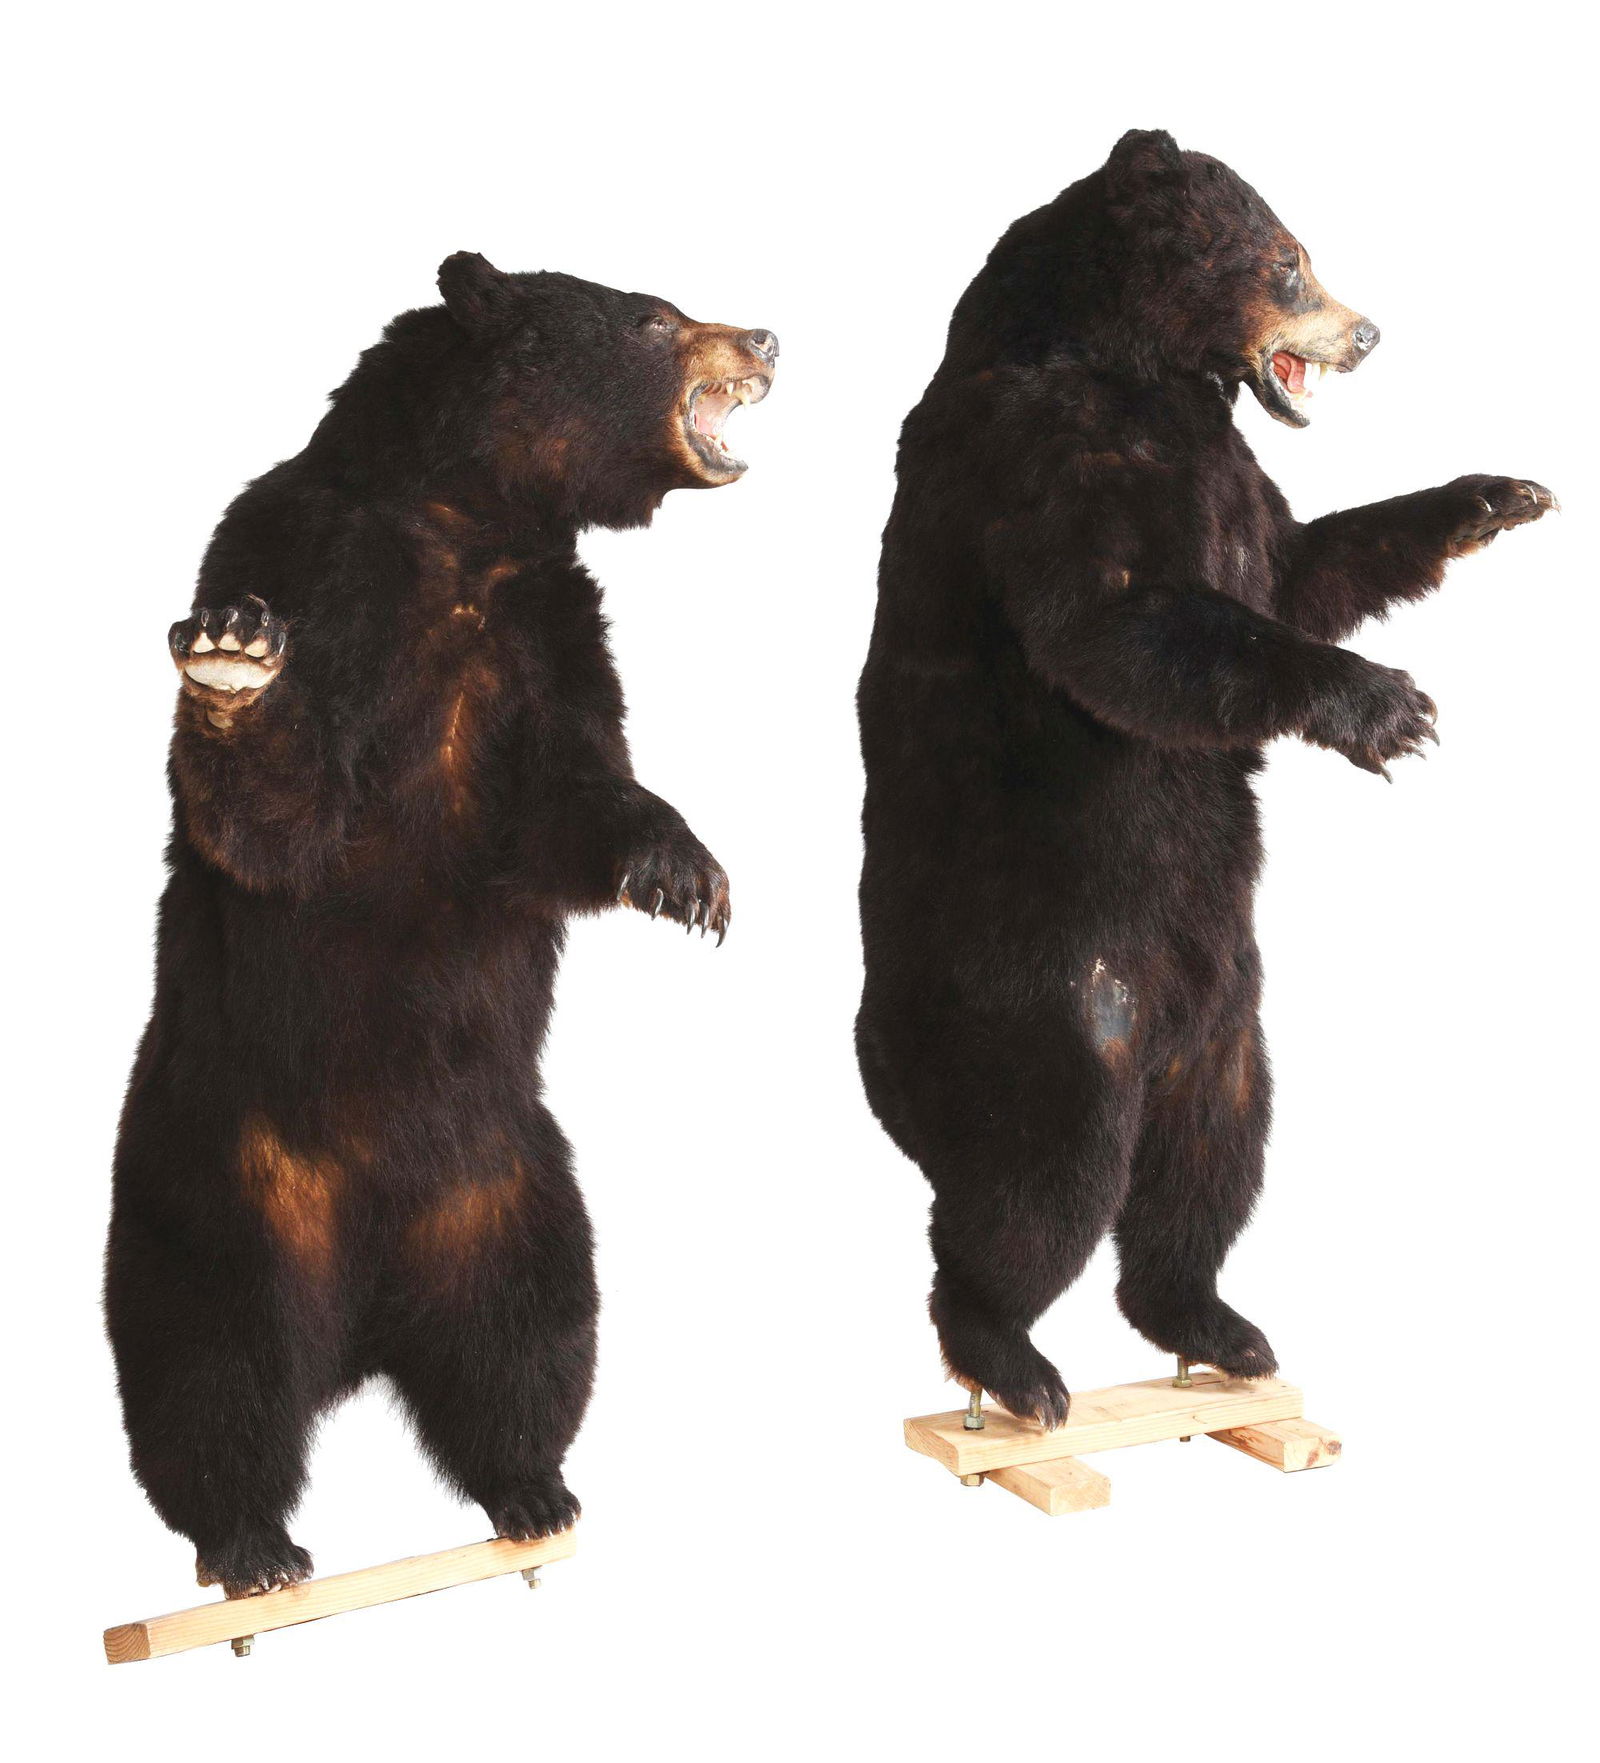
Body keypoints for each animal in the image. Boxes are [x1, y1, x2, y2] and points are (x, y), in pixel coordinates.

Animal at [106, 253, 777, 1596]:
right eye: (652, 316)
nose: (768, 338)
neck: (462, 526)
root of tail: (362, 1315)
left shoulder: (547, 631)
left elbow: (569, 797)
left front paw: (686, 871)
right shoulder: (304, 560)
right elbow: (284, 825)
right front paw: (233, 666)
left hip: (508, 1185)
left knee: (526, 1335)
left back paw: (533, 1490)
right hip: (219, 1183)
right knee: (213, 1365)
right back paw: (250, 1543)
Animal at [855, 130, 1554, 1427]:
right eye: (1289, 259)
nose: (1369, 333)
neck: (1139, 364)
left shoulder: (1228, 477)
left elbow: (1303, 564)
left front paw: (1494, 497)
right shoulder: (1048, 456)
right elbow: (1122, 622)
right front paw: (1390, 707)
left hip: (1229, 1024)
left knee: (1210, 1163)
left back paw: (1217, 1328)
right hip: (1060, 1008)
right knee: (1034, 1193)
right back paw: (1012, 1366)